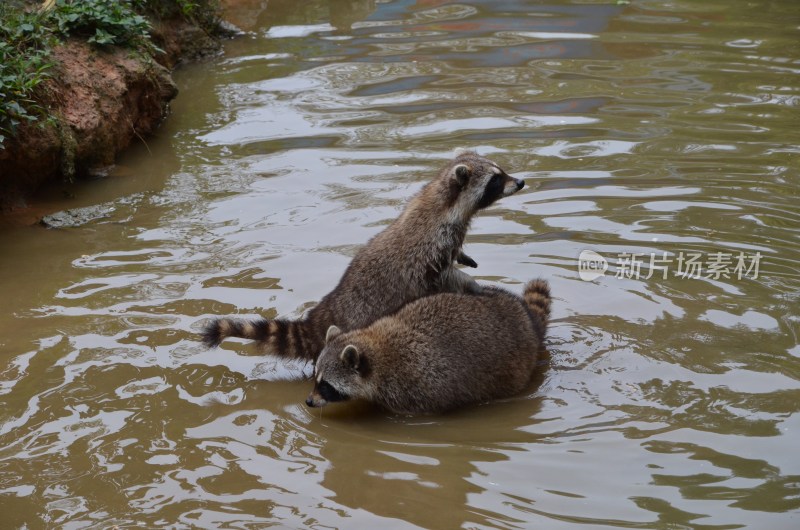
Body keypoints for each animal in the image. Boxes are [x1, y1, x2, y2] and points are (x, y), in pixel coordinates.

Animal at [200, 151, 524, 360]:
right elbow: (443, 276)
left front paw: (466, 259)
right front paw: (473, 284)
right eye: (496, 180)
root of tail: (322, 316)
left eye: (501, 172)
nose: (520, 182)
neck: (445, 202)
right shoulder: (431, 249)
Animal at [306, 276, 552, 412]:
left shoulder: (415, 391)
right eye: (315, 377)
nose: (308, 401)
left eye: (325, 386)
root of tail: (526, 316)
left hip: (514, 368)